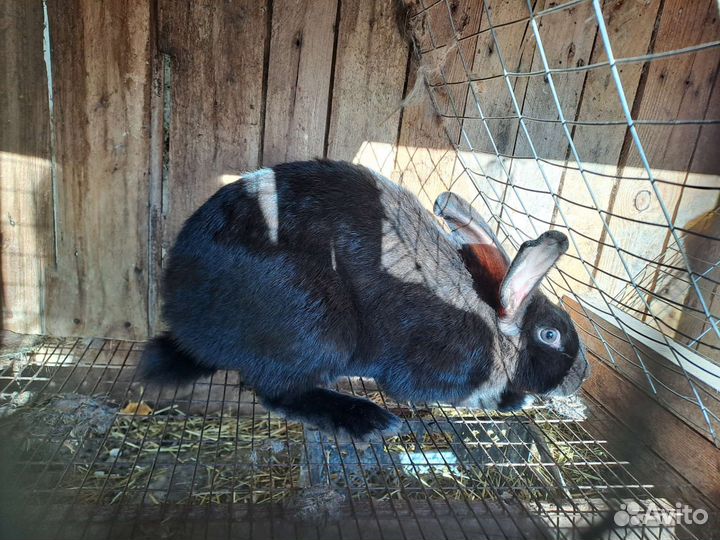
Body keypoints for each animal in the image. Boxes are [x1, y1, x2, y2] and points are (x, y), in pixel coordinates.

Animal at [138, 159, 590, 439]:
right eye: (550, 335)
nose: (582, 376)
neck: (493, 327)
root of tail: (187, 325)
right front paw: (515, 399)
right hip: (315, 322)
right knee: (277, 392)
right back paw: (367, 420)